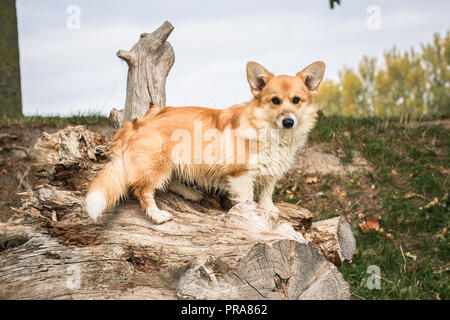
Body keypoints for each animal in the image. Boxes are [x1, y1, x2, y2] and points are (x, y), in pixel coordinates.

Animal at [85, 61, 324, 224]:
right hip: (157, 164)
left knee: (170, 182)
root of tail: (136, 122)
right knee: (142, 189)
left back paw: (192, 193)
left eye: (296, 100)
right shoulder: (241, 175)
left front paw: (269, 210)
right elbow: (247, 199)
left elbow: (266, 193)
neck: (268, 130)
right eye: (275, 101)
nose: (288, 122)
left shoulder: (269, 173)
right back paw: (157, 215)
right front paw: (251, 218)